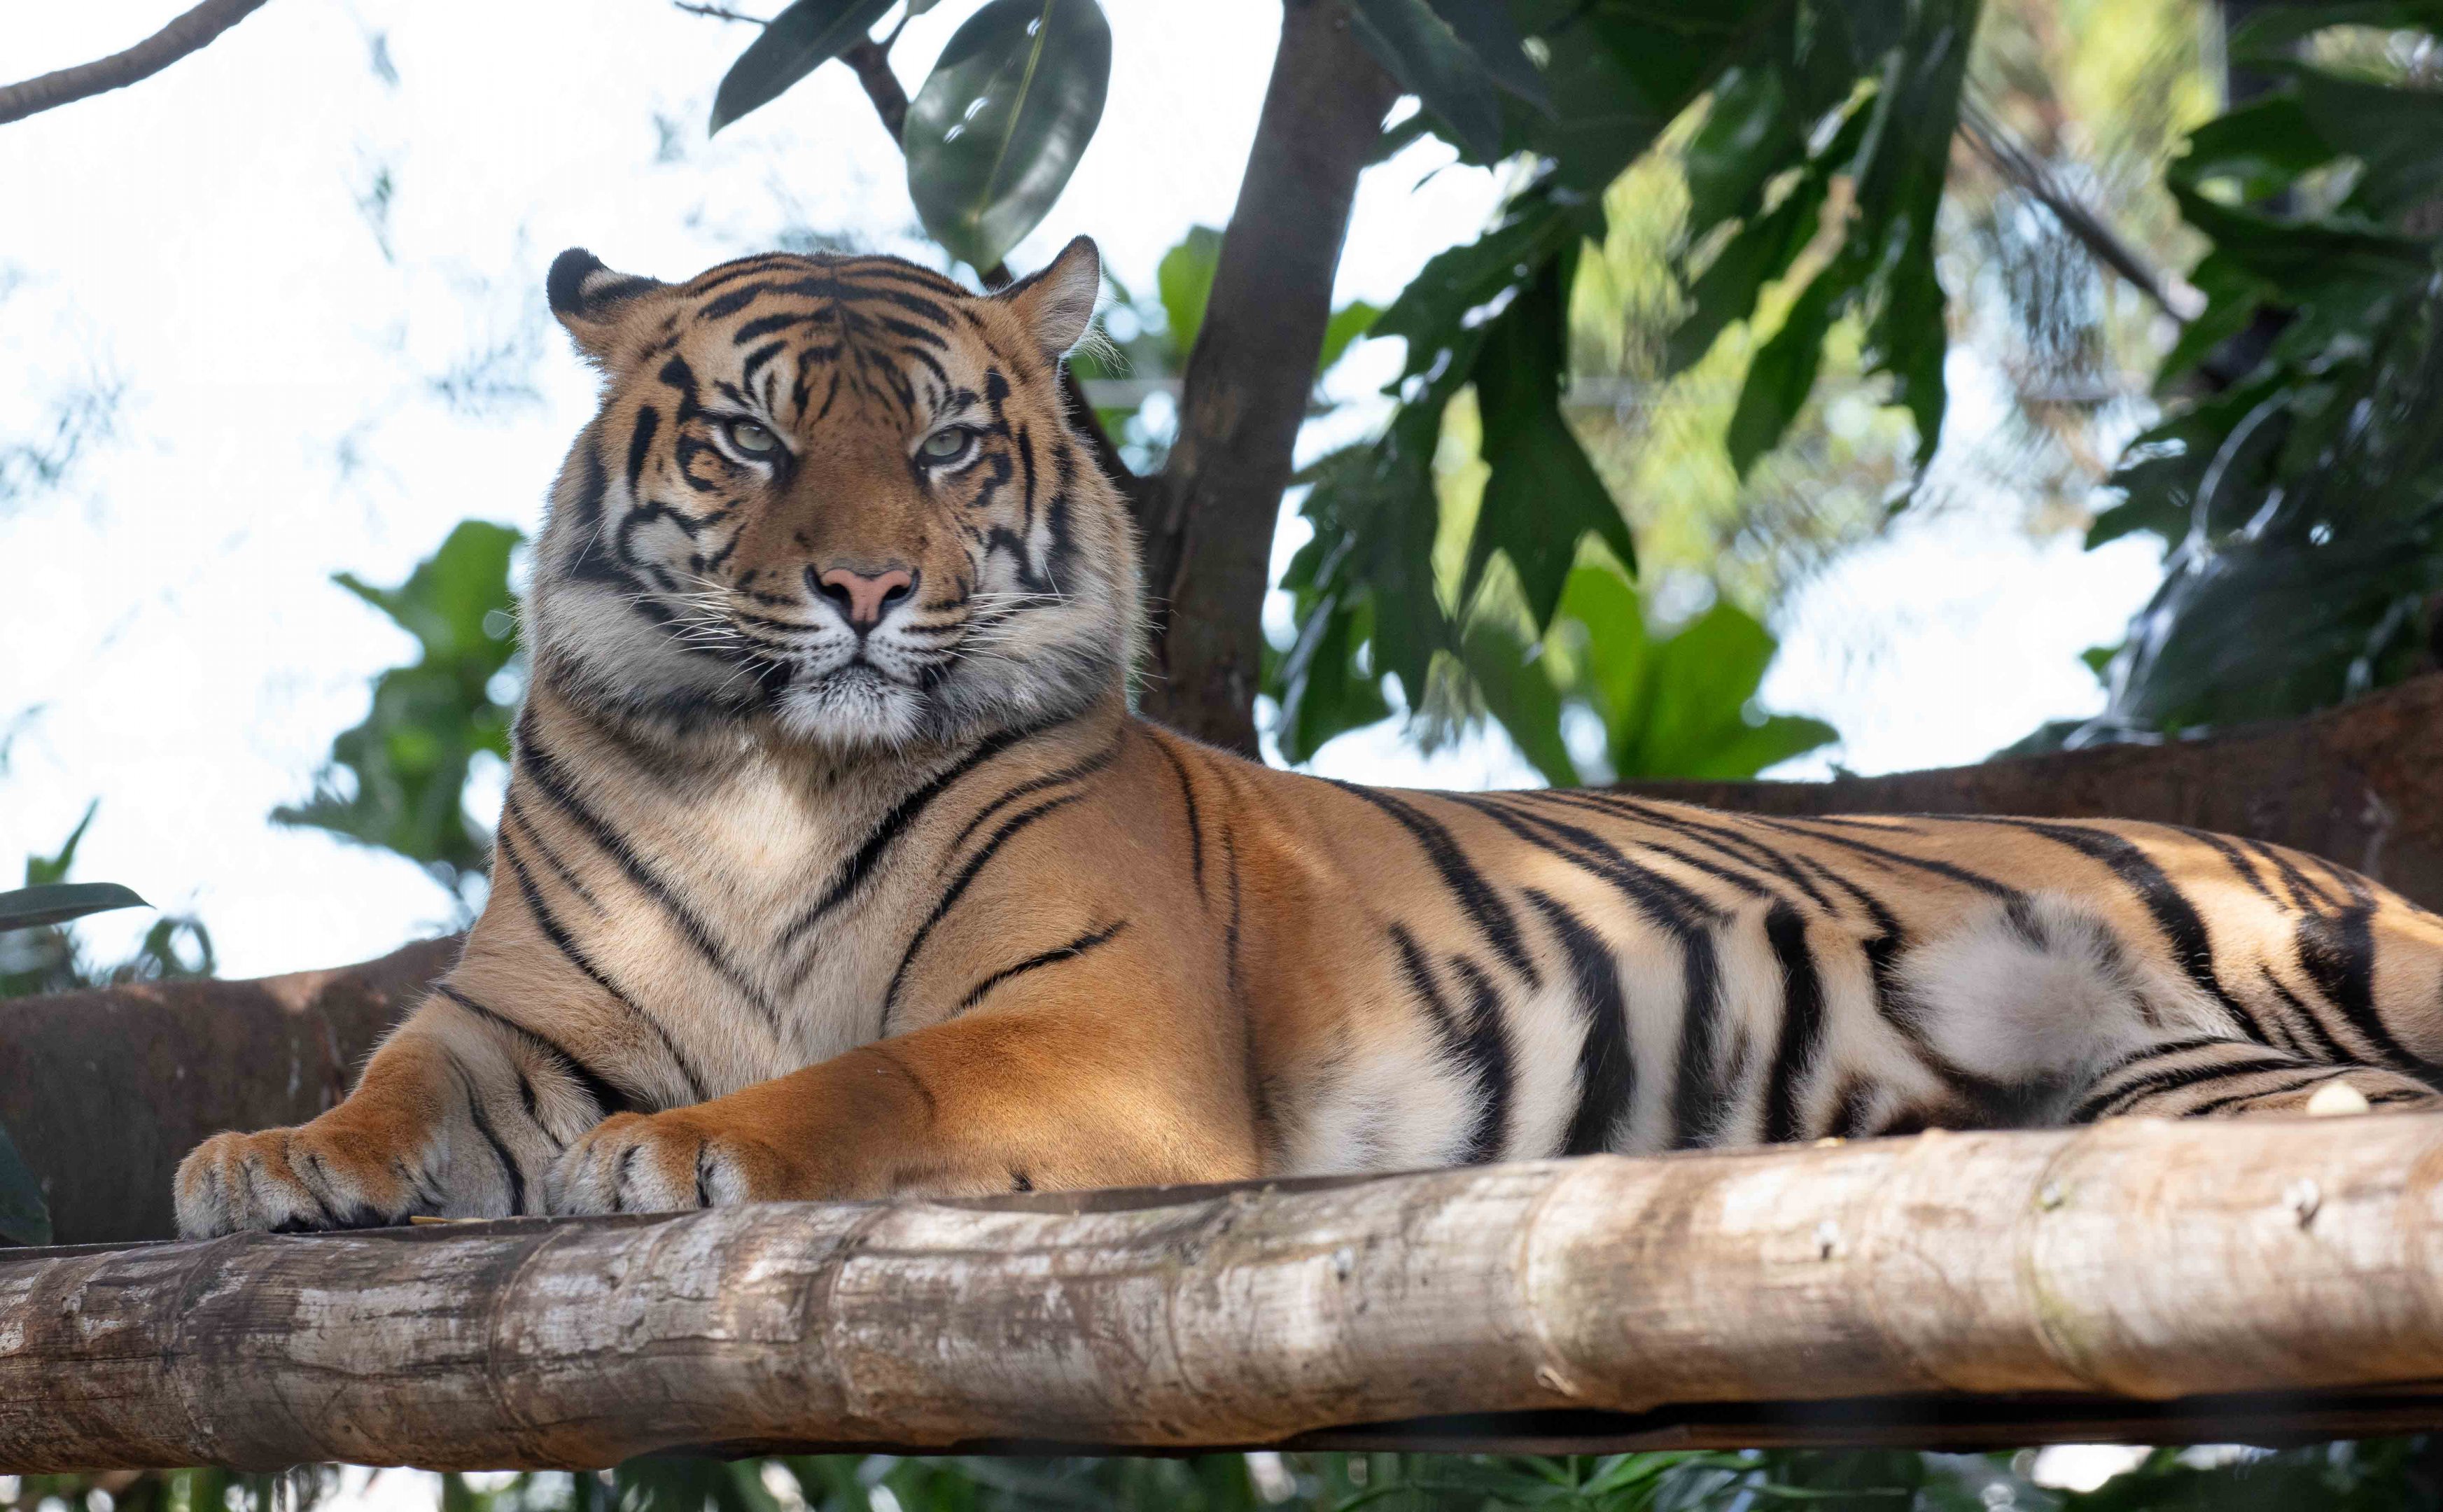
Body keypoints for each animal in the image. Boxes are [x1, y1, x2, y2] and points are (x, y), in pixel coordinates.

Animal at [175, 234, 2443, 1237]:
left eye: (942, 444)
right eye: (748, 440)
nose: (865, 588)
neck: (768, 772)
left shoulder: (1097, 1025)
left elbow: (878, 1072)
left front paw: (686, 1144)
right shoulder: (522, 1009)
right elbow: (397, 1074)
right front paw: (268, 1161)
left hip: (2332, 952)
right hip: (2206, 1088)